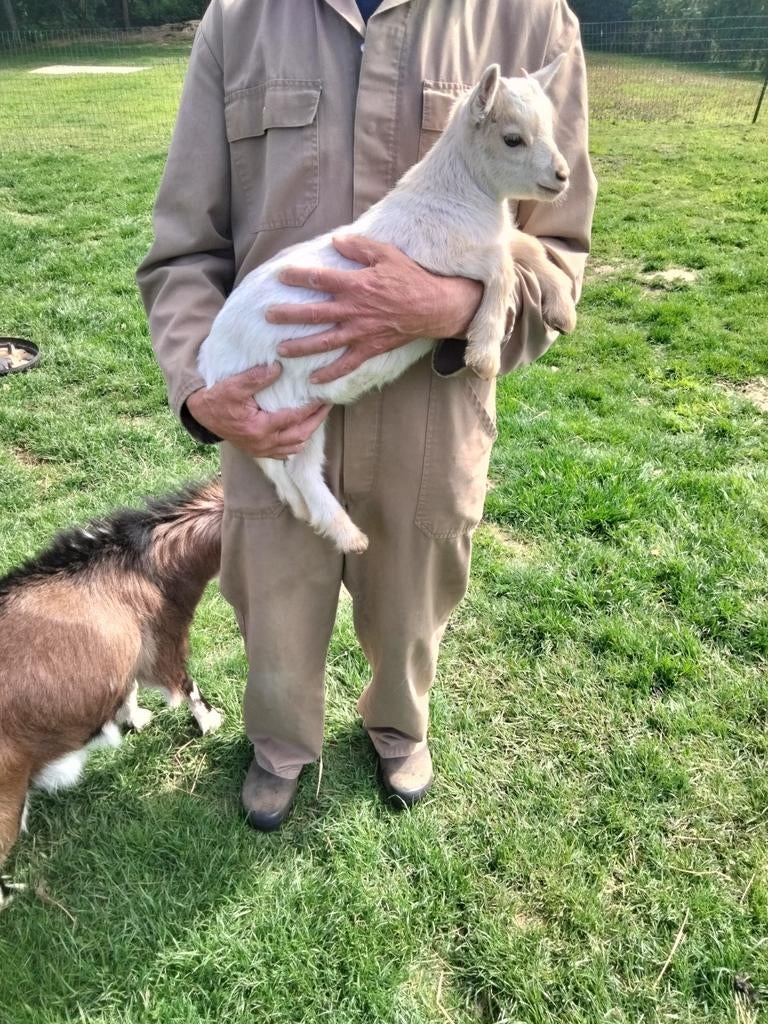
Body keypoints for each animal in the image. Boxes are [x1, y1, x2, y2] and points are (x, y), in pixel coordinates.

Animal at [0, 480, 224, 907]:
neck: (144, 560)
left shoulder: (129, 650)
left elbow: (129, 686)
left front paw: (133, 718)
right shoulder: (163, 642)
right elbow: (185, 685)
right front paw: (210, 722)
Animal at [198, 58, 576, 555]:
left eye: (551, 127)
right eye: (513, 138)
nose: (563, 176)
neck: (453, 197)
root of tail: (208, 365)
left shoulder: (488, 239)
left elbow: (525, 247)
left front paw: (562, 307)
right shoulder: (441, 258)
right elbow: (503, 270)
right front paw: (484, 354)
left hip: (286, 410)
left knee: (285, 471)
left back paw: (311, 515)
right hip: (280, 401)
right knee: (299, 469)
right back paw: (348, 534)